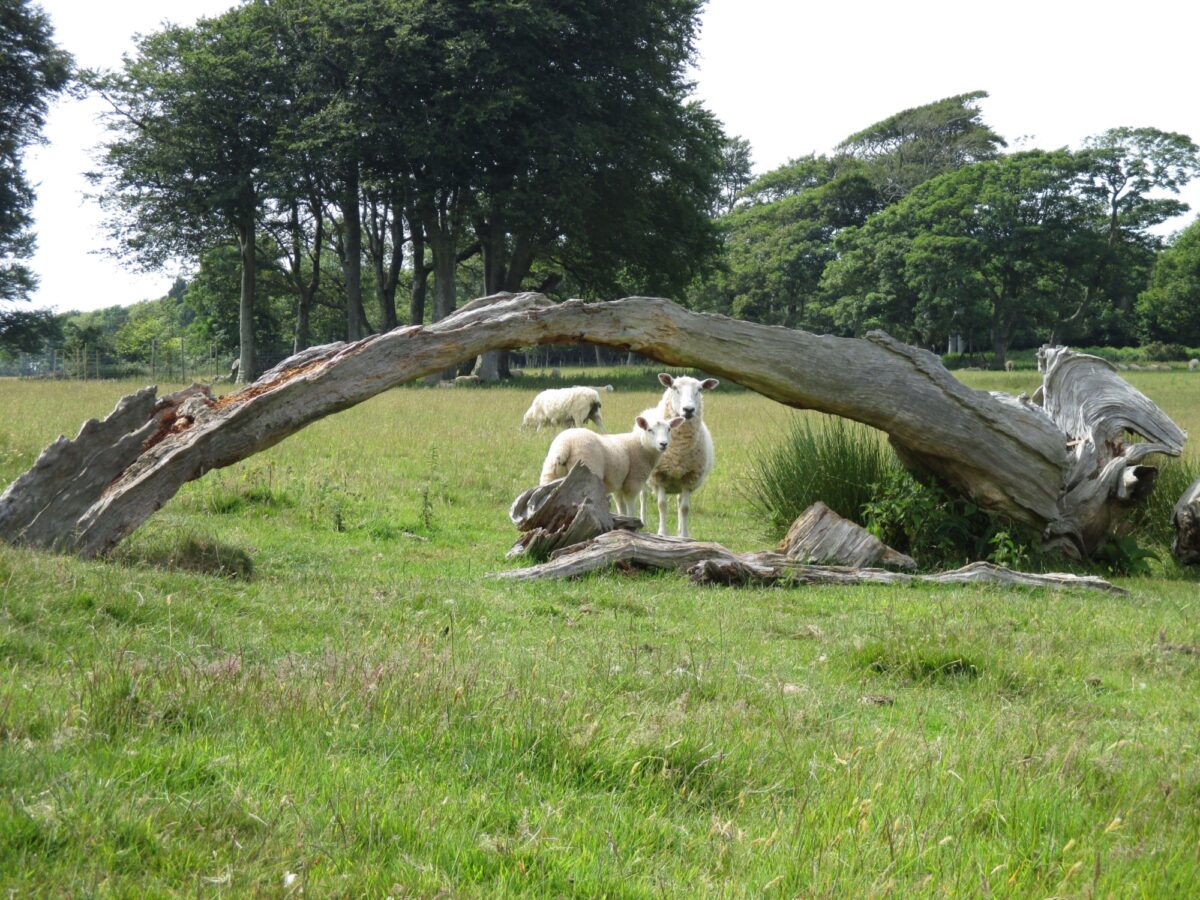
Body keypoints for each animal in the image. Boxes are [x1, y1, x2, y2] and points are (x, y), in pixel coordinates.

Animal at [544, 415, 686, 513]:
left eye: (669, 429)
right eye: (649, 430)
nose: (663, 444)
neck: (642, 445)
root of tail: (565, 445)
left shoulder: (618, 485)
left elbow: (621, 507)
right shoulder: (633, 482)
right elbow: (630, 508)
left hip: (550, 473)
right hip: (587, 471)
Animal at [643, 372, 715, 540]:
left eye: (700, 389)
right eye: (674, 388)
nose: (688, 409)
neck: (679, 449)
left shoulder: (689, 477)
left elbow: (684, 508)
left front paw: (684, 536)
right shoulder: (659, 475)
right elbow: (662, 505)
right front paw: (662, 533)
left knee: (679, 501)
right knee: (642, 497)